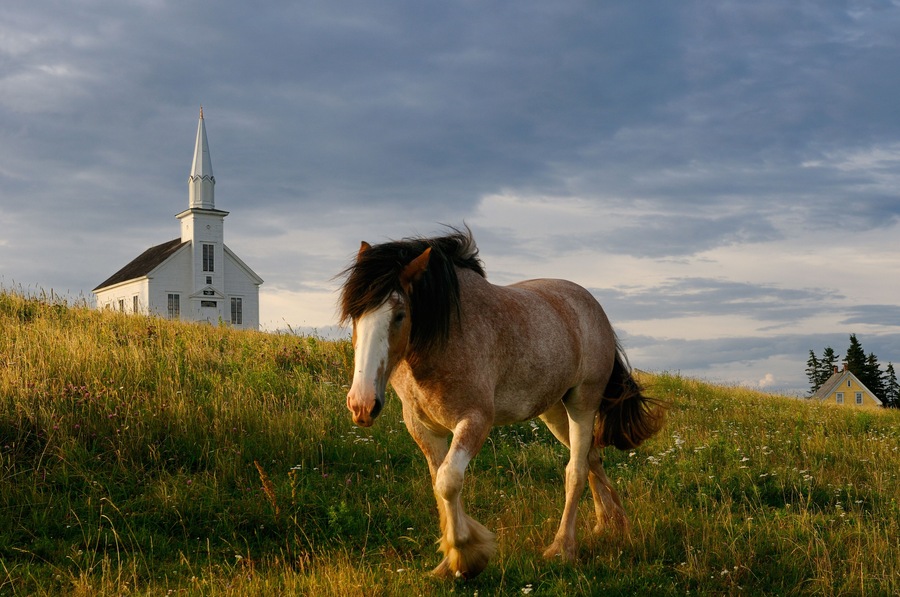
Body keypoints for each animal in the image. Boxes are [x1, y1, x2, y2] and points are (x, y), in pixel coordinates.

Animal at [338, 228, 664, 579]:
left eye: (399, 315)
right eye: (355, 314)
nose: (362, 405)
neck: (445, 338)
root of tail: (593, 307)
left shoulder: (475, 421)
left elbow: (449, 482)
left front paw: (467, 557)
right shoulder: (424, 429)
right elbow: (439, 486)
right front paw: (447, 564)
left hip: (582, 403)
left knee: (575, 470)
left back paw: (563, 548)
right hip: (554, 411)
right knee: (592, 457)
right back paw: (612, 525)